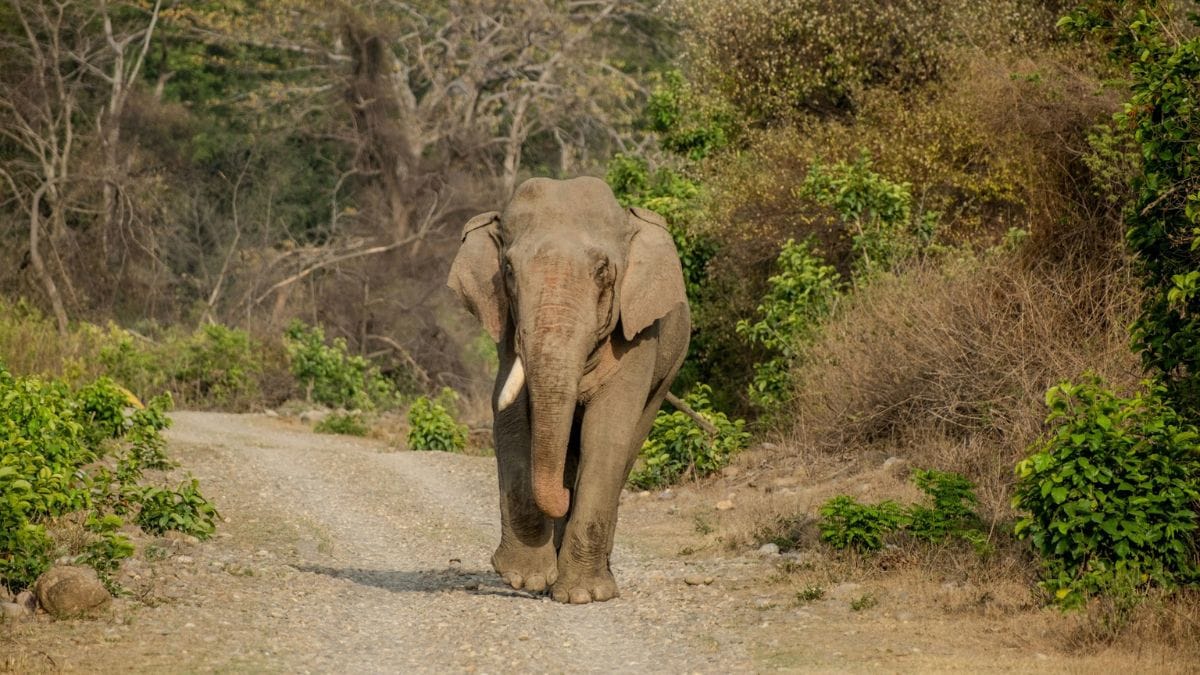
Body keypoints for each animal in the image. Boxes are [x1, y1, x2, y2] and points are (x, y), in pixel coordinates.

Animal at [447, 176, 690, 604]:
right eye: (508, 270)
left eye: (603, 272)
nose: (561, 497)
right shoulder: (508, 329)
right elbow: (511, 422)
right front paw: (524, 578)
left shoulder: (641, 335)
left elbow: (607, 433)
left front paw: (583, 595)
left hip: (670, 369)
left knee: (627, 443)